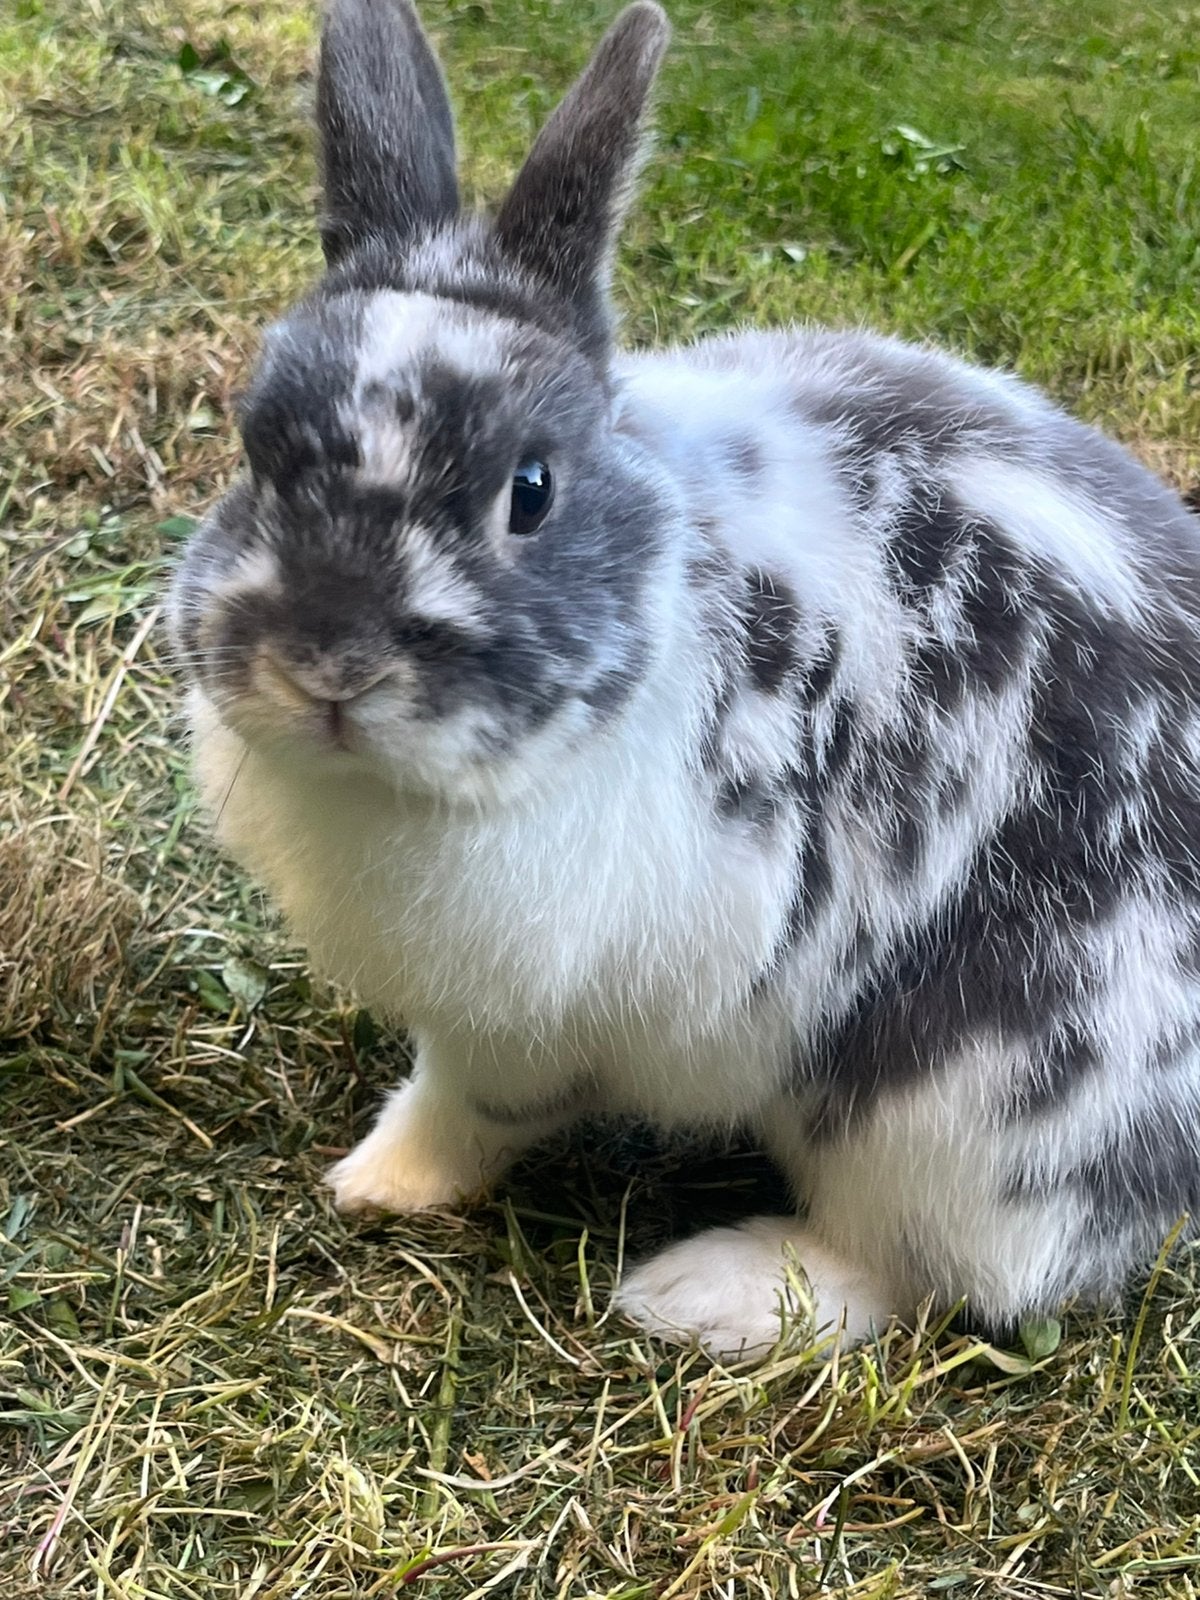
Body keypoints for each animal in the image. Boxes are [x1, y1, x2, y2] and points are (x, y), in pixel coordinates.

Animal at [169, 0, 1200, 1360]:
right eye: (252, 449)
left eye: (531, 490)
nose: (329, 669)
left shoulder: (530, 1012)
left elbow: (469, 1107)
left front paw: (379, 1182)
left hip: (961, 1116)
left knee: (948, 1270)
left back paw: (704, 1292)